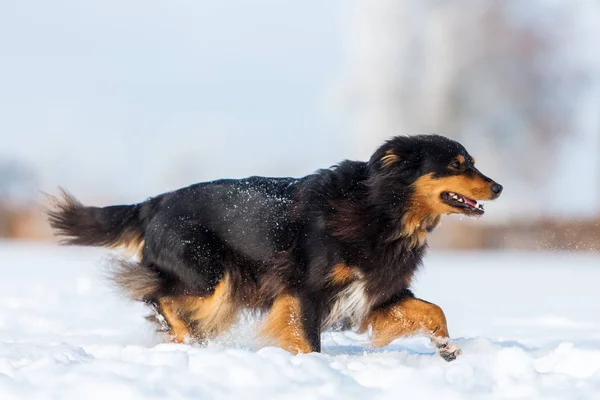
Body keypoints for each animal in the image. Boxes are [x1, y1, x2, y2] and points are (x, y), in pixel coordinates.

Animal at [48, 135, 502, 362]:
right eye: (457, 165)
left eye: (471, 162)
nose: (498, 186)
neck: (382, 209)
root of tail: (152, 203)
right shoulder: (306, 290)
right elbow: (308, 338)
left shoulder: (376, 290)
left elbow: (432, 310)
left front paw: (446, 348)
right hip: (211, 276)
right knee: (156, 293)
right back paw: (186, 341)